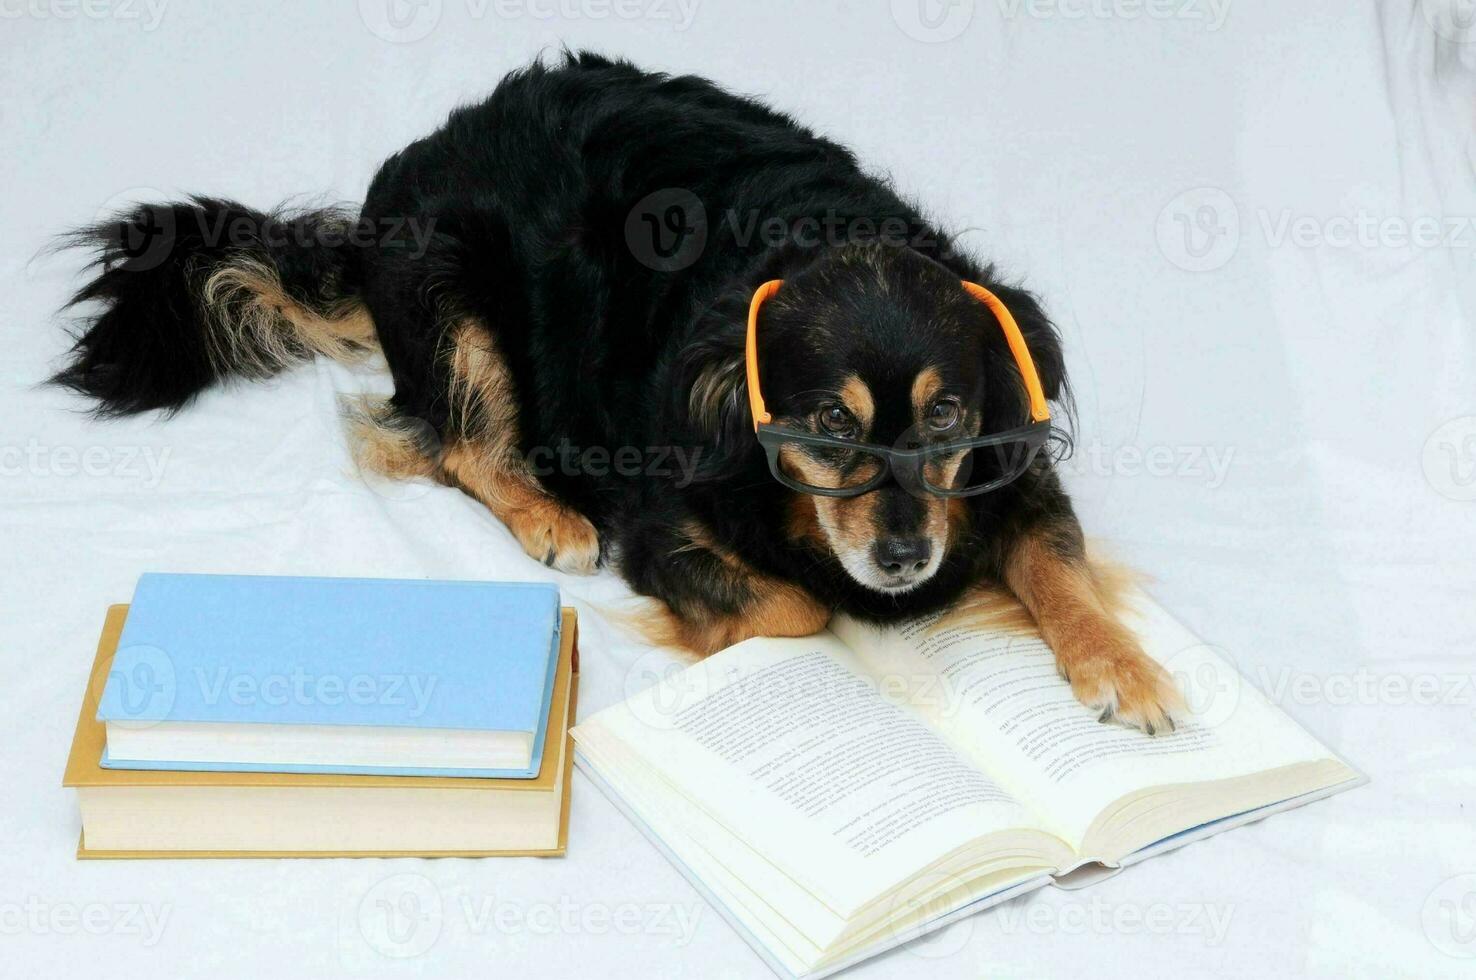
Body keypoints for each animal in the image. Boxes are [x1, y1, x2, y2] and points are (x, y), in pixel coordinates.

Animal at [57, 49, 1180, 732]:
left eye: (947, 416)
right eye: (830, 422)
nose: (906, 560)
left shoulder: (1007, 470)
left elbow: (1060, 565)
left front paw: (1124, 668)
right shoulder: (665, 529)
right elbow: (794, 610)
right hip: (455, 302)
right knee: (456, 444)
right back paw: (548, 514)